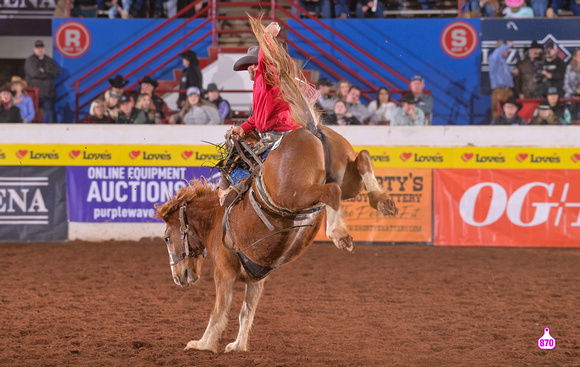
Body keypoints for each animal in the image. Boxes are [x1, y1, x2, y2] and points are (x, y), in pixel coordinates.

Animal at [156, 126, 396, 354]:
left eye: (167, 238)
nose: (178, 277)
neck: (216, 218)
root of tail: (312, 131)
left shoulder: (224, 272)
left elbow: (218, 311)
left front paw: (202, 344)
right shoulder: (256, 279)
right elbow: (246, 312)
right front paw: (238, 346)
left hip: (294, 194)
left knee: (332, 191)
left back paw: (339, 233)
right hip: (347, 179)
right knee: (362, 159)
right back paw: (382, 200)